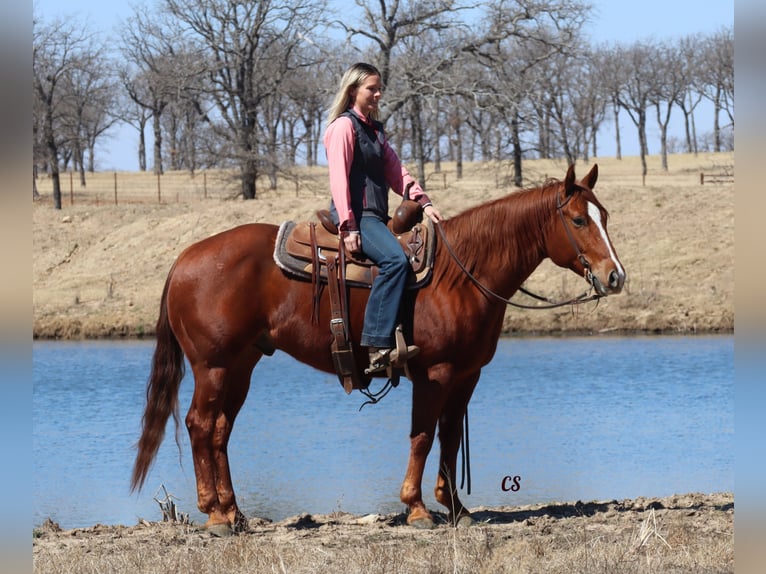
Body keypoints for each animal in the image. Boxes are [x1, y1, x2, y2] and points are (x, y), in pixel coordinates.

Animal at [130, 163, 624, 536]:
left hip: (241, 365)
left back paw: (234, 513)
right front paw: (418, 508)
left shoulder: (467, 375)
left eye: (604, 215)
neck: (462, 274)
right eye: (578, 220)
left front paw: (455, 507)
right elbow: (423, 436)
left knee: (220, 431)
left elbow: (448, 436)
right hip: (212, 365)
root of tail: (185, 258)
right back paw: (214, 515)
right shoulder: (435, 373)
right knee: (199, 425)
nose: (615, 276)